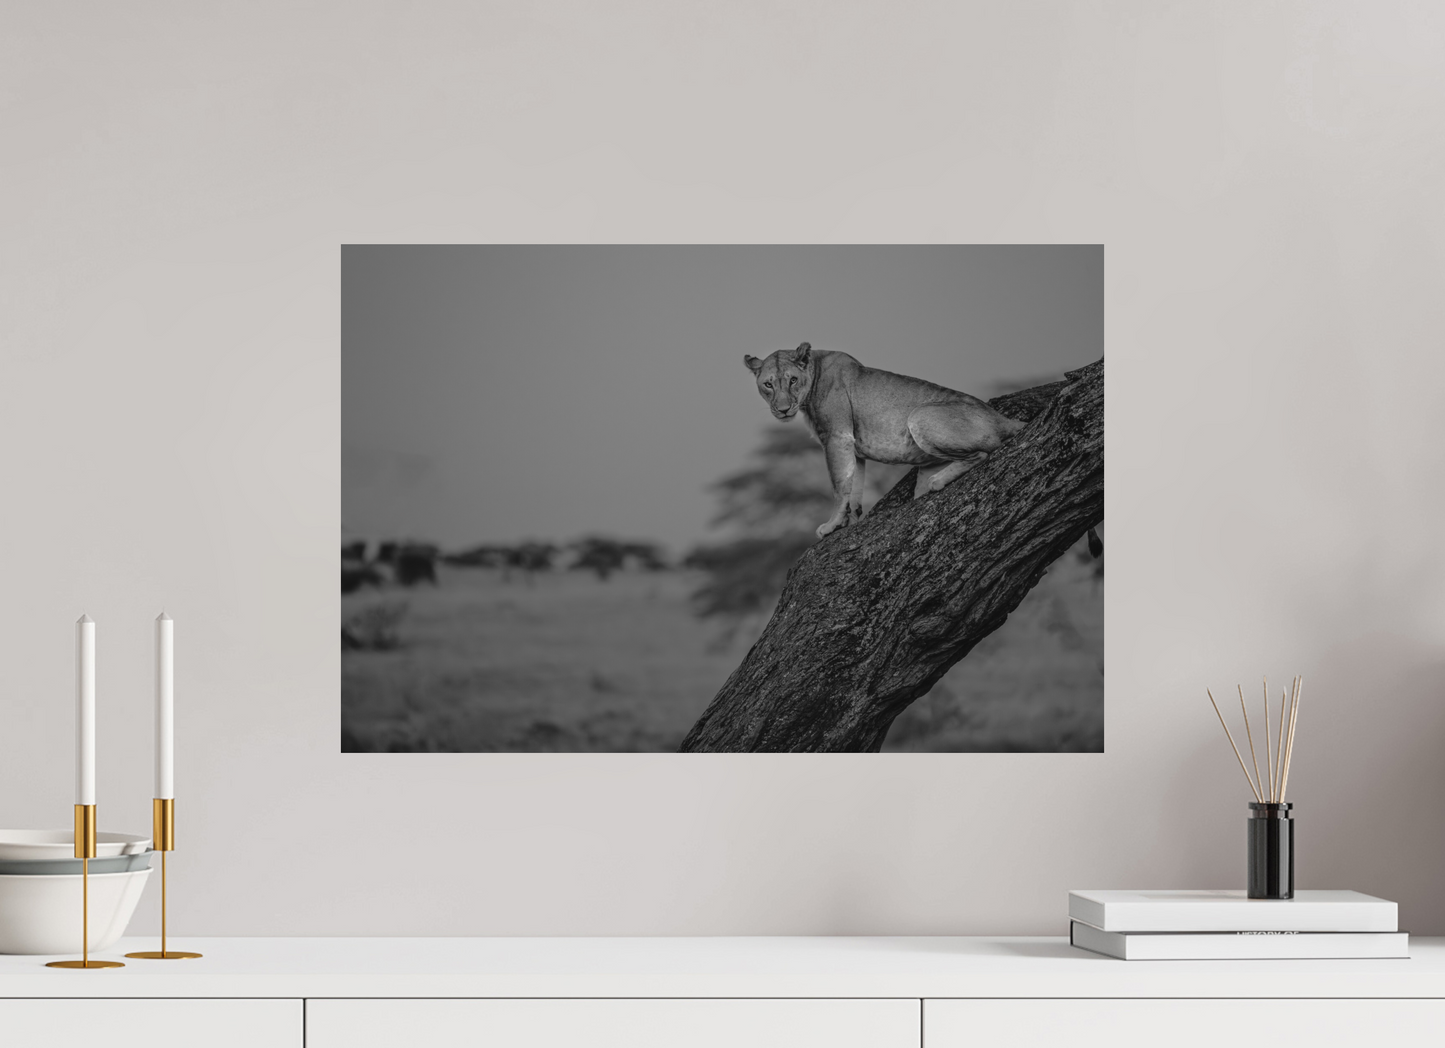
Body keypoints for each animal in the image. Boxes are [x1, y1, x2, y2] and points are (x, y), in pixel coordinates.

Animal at [744, 342, 1026, 538]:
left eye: (792, 380)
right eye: (768, 385)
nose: (783, 410)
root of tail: (1003, 418)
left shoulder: (836, 437)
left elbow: (839, 486)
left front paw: (831, 525)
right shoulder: (851, 446)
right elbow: (854, 487)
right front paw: (850, 521)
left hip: (919, 415)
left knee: (982, 452)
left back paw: (938, 481)